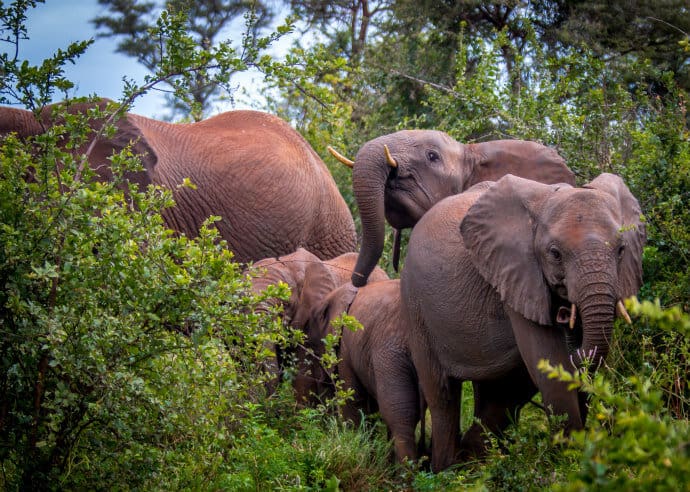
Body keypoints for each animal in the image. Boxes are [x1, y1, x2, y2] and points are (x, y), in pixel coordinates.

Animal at [398, 174, 644, 472]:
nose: (563, 314)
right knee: (443, 396)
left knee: (495, 392)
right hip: (416, 308)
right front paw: (571, 463)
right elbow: (549, 366)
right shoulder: (517, 276)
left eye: (621, 250)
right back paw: (447, 470)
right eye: (555, 254)